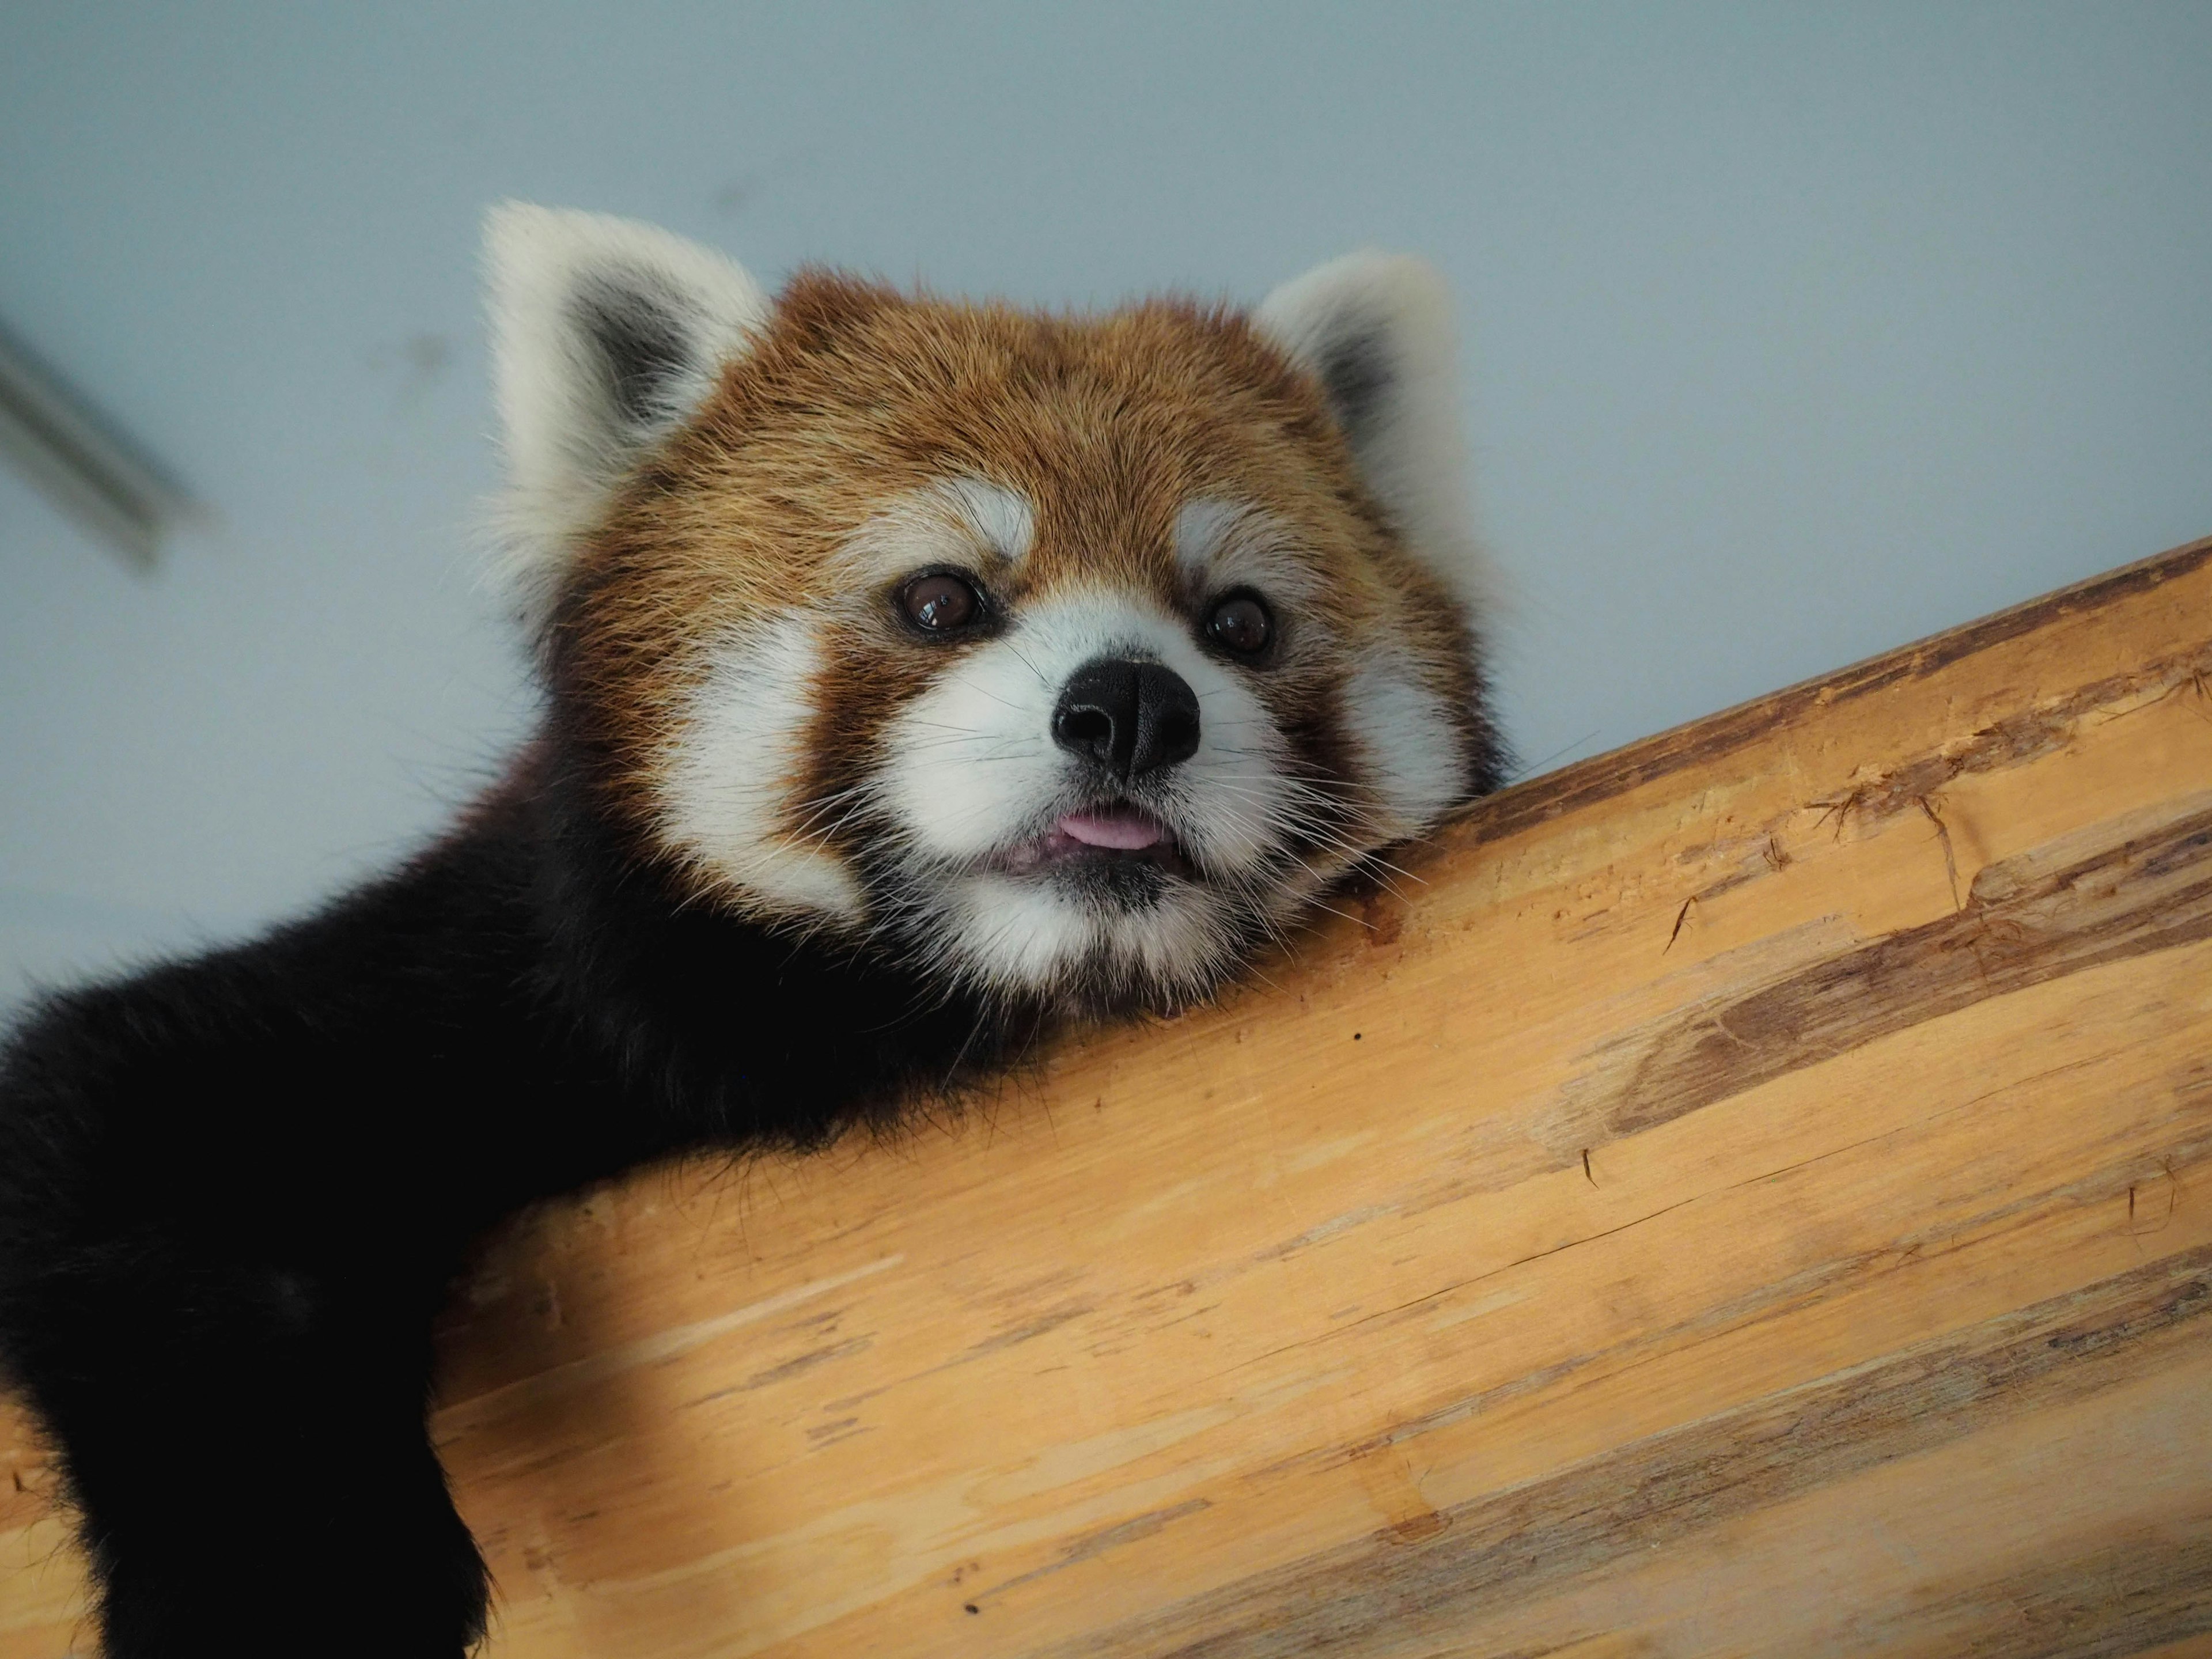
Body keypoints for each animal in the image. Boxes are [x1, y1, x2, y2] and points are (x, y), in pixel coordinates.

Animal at [0, 201, 1504, 1654]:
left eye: (1238, 621)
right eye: (942, 597)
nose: (1132, 705)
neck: (932, 1013)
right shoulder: (478, 972)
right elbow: (129, 1109)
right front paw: (300, 1592)